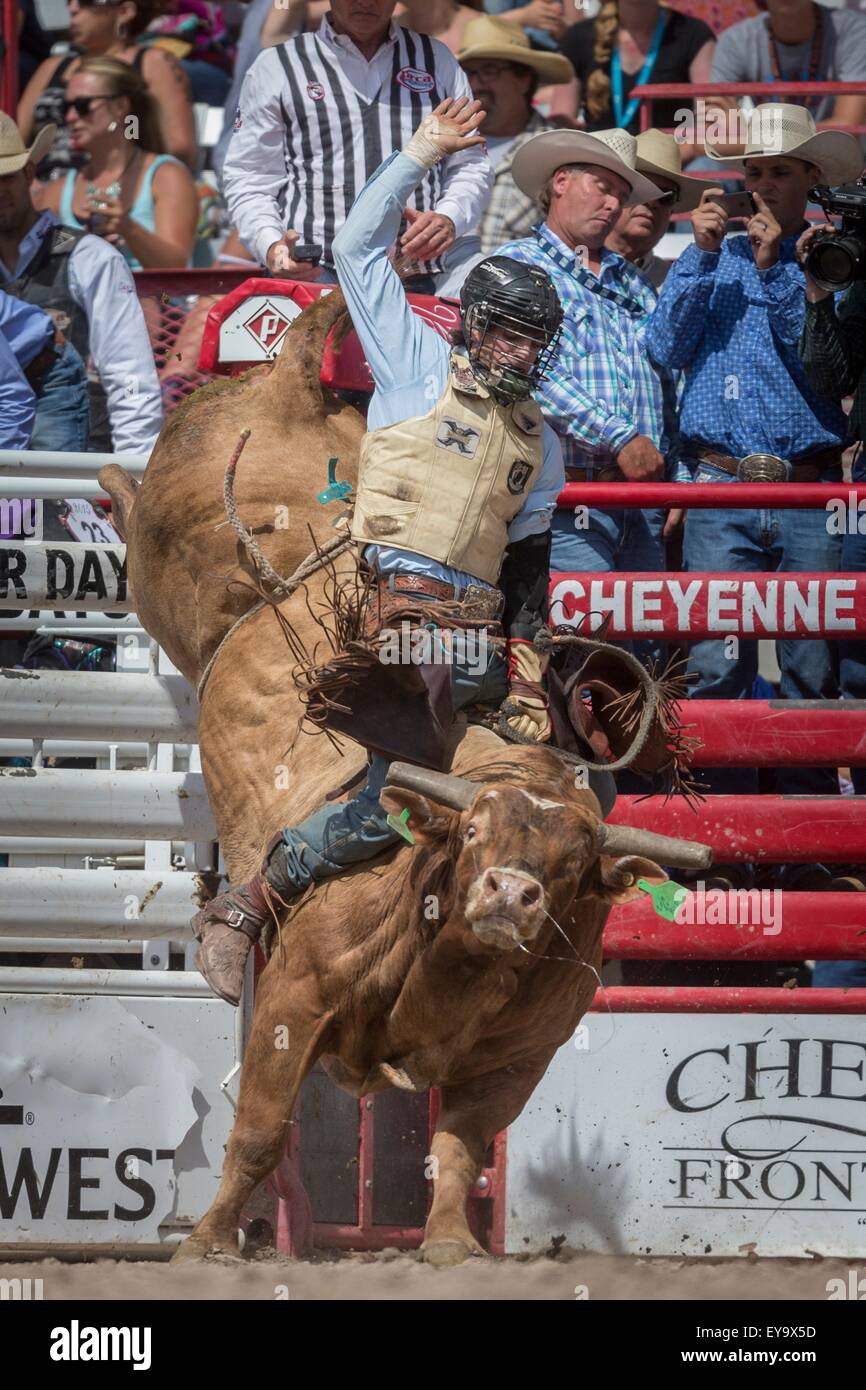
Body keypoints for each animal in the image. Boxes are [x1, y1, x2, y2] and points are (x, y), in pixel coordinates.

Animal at [100, 287, 711, 1267]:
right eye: (473, 831)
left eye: (572, 866)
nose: (508, 893)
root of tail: (292, 389)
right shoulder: (293, 999)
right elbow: (261, 1131)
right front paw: (206, 1243)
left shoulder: (516, 1064)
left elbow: (458, 1150)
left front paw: (452, 1247)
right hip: (173, 558)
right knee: (145, 512)